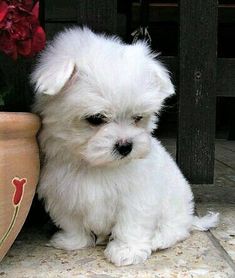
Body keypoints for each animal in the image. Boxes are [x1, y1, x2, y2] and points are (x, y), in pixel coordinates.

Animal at [31, 27, 218, 266]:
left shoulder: (137, 197)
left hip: (175, 208)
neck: (97, 166)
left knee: (175, 230)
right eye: (96, 119)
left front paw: (127, 251)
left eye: (137, 118)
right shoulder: (63, 194)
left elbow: (132, 224)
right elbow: (71, 222)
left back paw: (158, 239)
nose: (126, 146)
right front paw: (72, 241)